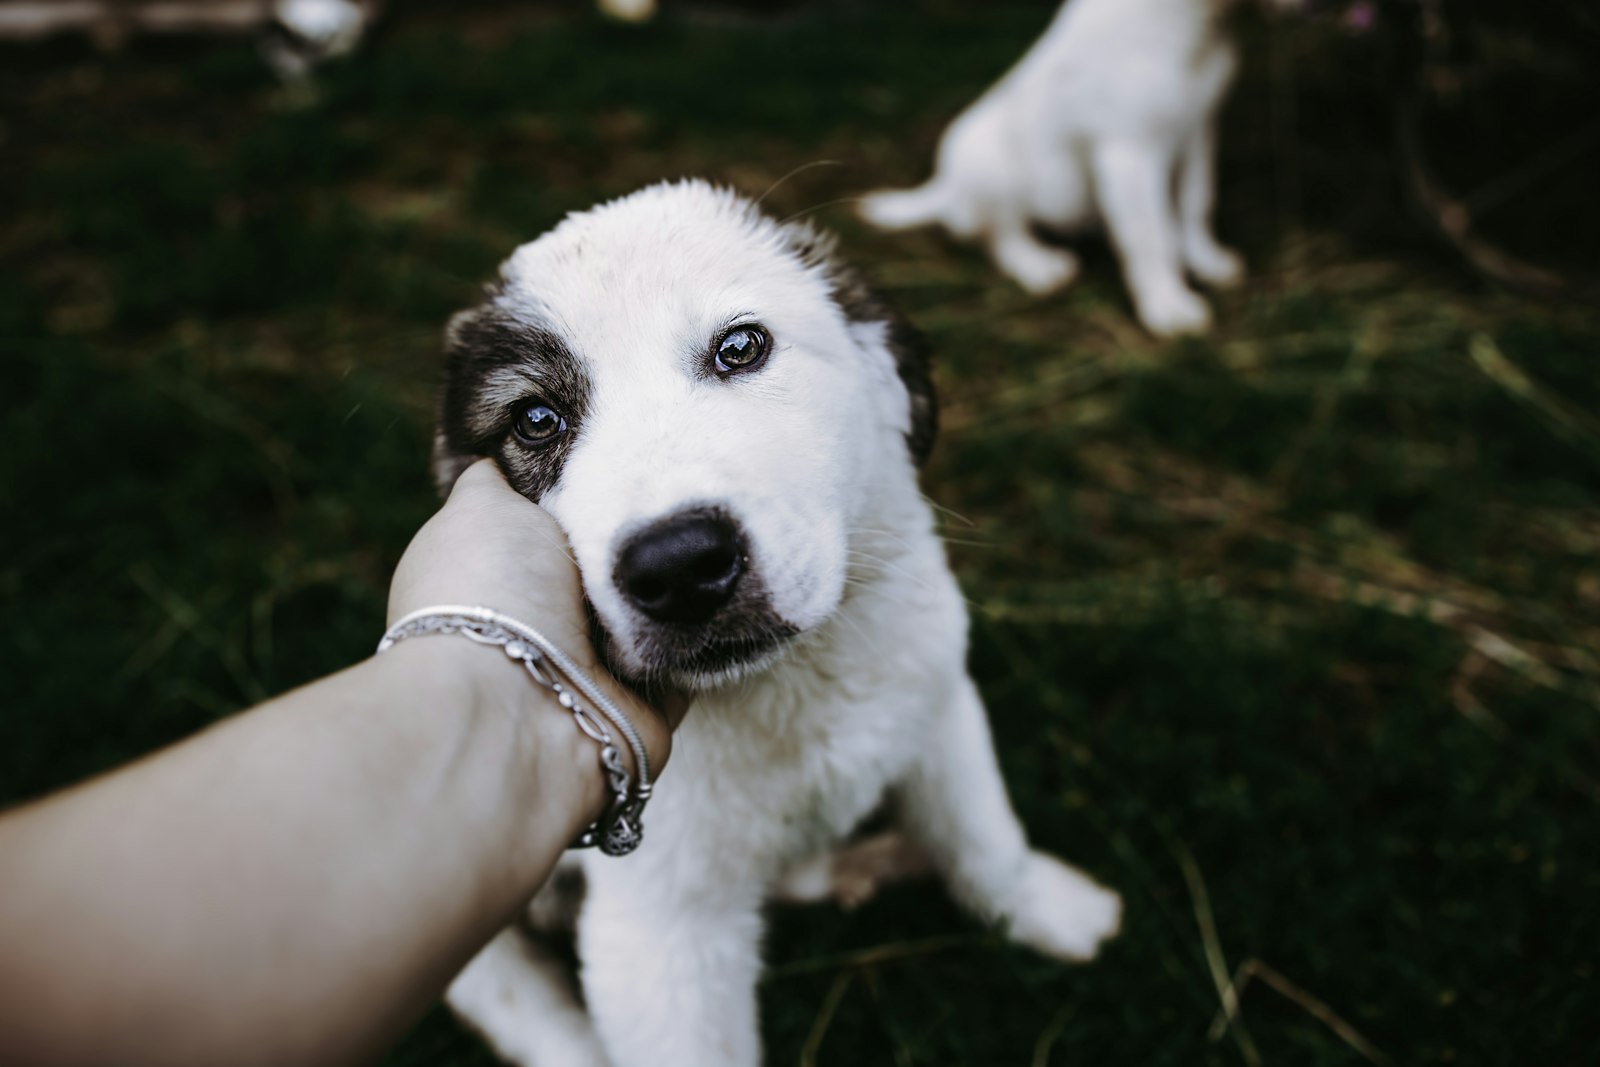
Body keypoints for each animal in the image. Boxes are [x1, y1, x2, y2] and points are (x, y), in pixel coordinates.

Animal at [432, 183, 1120, 1067]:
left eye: (740, 347)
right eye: (536, 420)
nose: (679, 566)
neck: (794, 681)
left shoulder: (939, 705)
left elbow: (983, 833)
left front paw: (1048, 909)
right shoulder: (658, 932)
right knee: (513, 996)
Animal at [857, 0, 1280, 337]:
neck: (1196, 29)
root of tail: (946, 189)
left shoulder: (1199, 130)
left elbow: (1196, 201)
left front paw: (1206, 260)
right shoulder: (1127, 152)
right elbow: (1147, 236)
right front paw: (1168, 305)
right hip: (986, 161)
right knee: (999, 236)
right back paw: (1039, 266)